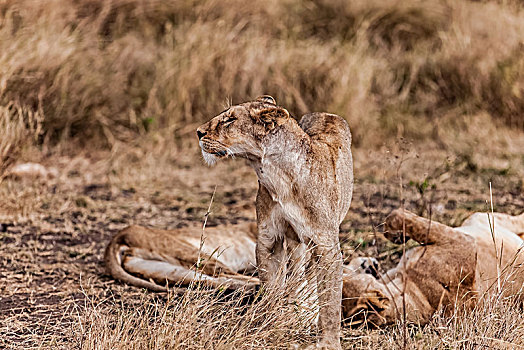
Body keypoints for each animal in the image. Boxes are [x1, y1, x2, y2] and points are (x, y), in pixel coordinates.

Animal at [103, 208, 524, 326]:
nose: (371, 264)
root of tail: (117, 236)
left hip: (182, 267)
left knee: (225, 280)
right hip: (193, 256)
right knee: (230, 277)